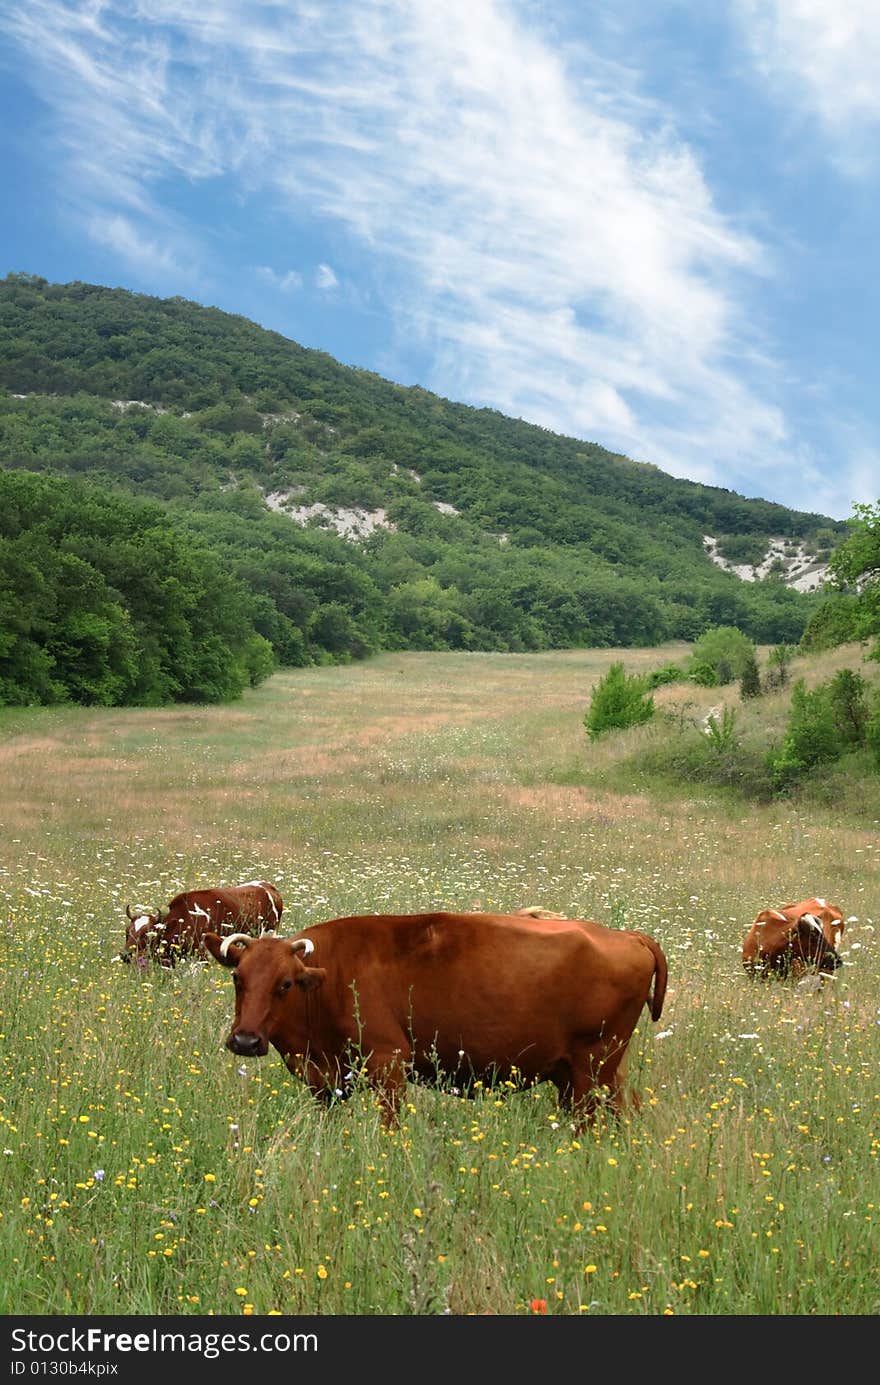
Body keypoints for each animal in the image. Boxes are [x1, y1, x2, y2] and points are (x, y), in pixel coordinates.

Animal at [200, 914, 667, 1130]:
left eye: (285, 984)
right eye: (238, 978)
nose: (245, 1040)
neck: (328, 977)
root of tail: (629, 936)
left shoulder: (389, 1063)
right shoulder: (326, 1080)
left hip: (591, 1073)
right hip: (590, 1073)